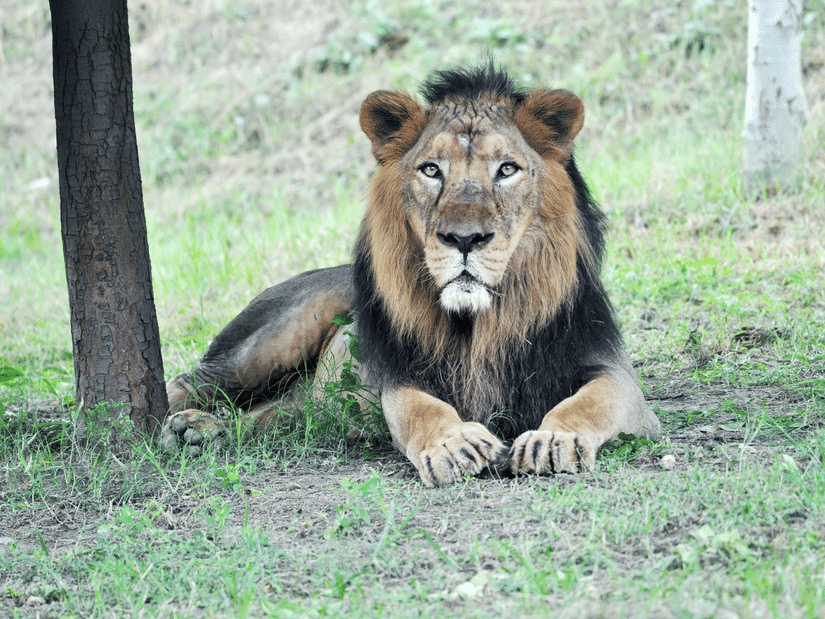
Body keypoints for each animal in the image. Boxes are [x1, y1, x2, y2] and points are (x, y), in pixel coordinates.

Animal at [162, 63, 661, 486]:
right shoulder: (403, 373)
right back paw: (173, 424)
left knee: (281, 415)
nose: (464, 238)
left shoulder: (612, 370)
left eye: (507, 169)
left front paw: (552, 438)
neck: (479, 323)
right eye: (431, 170)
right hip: (266, 345)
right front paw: (454, 444)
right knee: (188, 382)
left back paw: (204, 431)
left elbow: (590, 402)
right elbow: (419, 409)